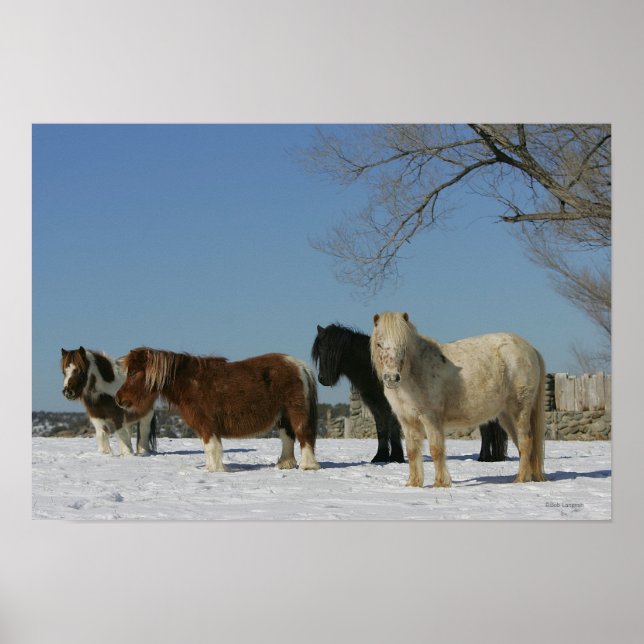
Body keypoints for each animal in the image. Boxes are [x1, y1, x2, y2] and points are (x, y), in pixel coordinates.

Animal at [115, 347, 321, 473]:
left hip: (296, 413)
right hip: (283, 416)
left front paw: (215, 470)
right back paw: (285, 464)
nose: (118, 399)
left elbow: (211, 447)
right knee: (288, 438)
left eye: (133, 372)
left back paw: (308, 466)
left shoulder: (206, 425)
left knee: (304, 435)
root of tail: (299, 365)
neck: (190, 383)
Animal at [312, 323, 508, 464]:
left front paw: (396, 457)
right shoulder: (376, 406)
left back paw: (484, 457)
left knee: (486, 430)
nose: (323, 379)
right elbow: (381, 429)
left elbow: (393, 429)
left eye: (334, 350)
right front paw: (380, 457)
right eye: (320, 351)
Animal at [370, 312, 547, 487]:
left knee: (525, 441)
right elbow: (412, 451)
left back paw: (519, 479)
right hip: (506, 415)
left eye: (404, 345)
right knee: (522, 444)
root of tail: (530, 348)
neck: (415, 372)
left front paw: (440, 484)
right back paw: (527, 478)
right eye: (379, 344)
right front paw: (413, 484)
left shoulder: (431, 418)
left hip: (519, 410)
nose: (392, 378)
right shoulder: (407, 420)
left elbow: (436, 449)